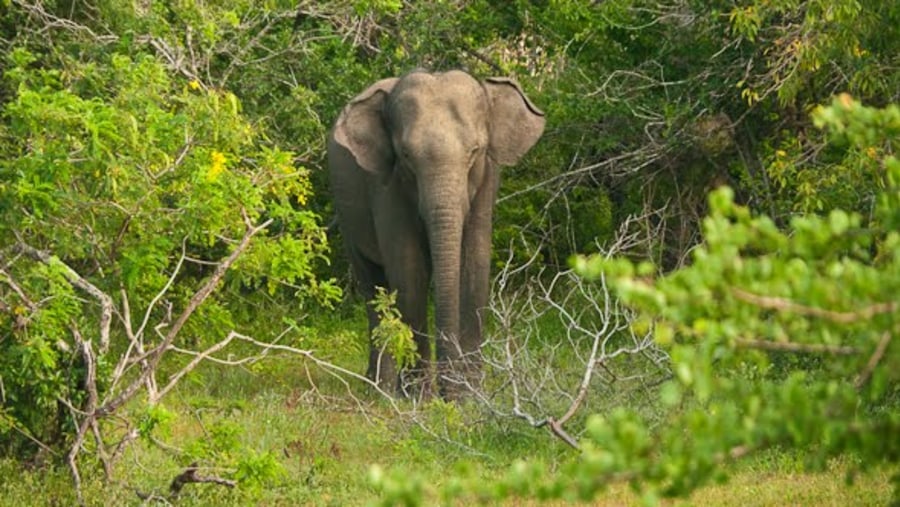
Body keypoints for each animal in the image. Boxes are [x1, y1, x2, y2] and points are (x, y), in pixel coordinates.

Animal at [326, 68, 544, 396]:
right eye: (405, 156)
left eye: (475, 151)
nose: (447, 391)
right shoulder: (386, 186)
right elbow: (409, 271)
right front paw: (419, 396)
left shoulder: (487, 179)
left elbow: (475, 265)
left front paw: (470, 395)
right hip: (347, 211)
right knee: (372, 286)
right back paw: (380, 388)